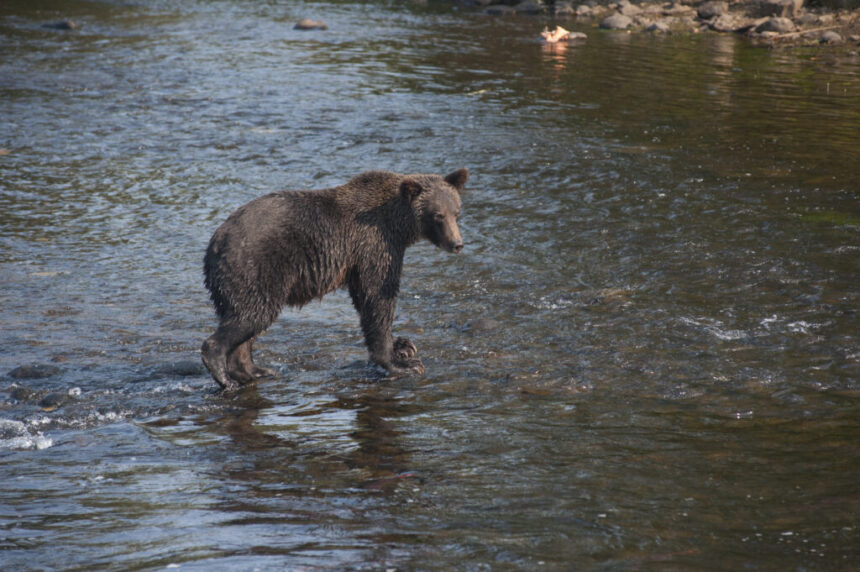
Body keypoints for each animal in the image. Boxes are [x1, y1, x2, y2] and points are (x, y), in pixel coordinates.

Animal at [201, 167, 468, 391]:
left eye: (456, 212)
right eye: (438, 215)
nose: (457, 244)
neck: (398, 226)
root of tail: (215, 242)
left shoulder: (360, 260)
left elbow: (365, 299)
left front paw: (404, 346)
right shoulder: (375, 244)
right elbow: (378, 296)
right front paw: (401, 364)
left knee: (247, 320)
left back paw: (256, 371)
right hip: (256, 268)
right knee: (252, 315)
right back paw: (224, 374)